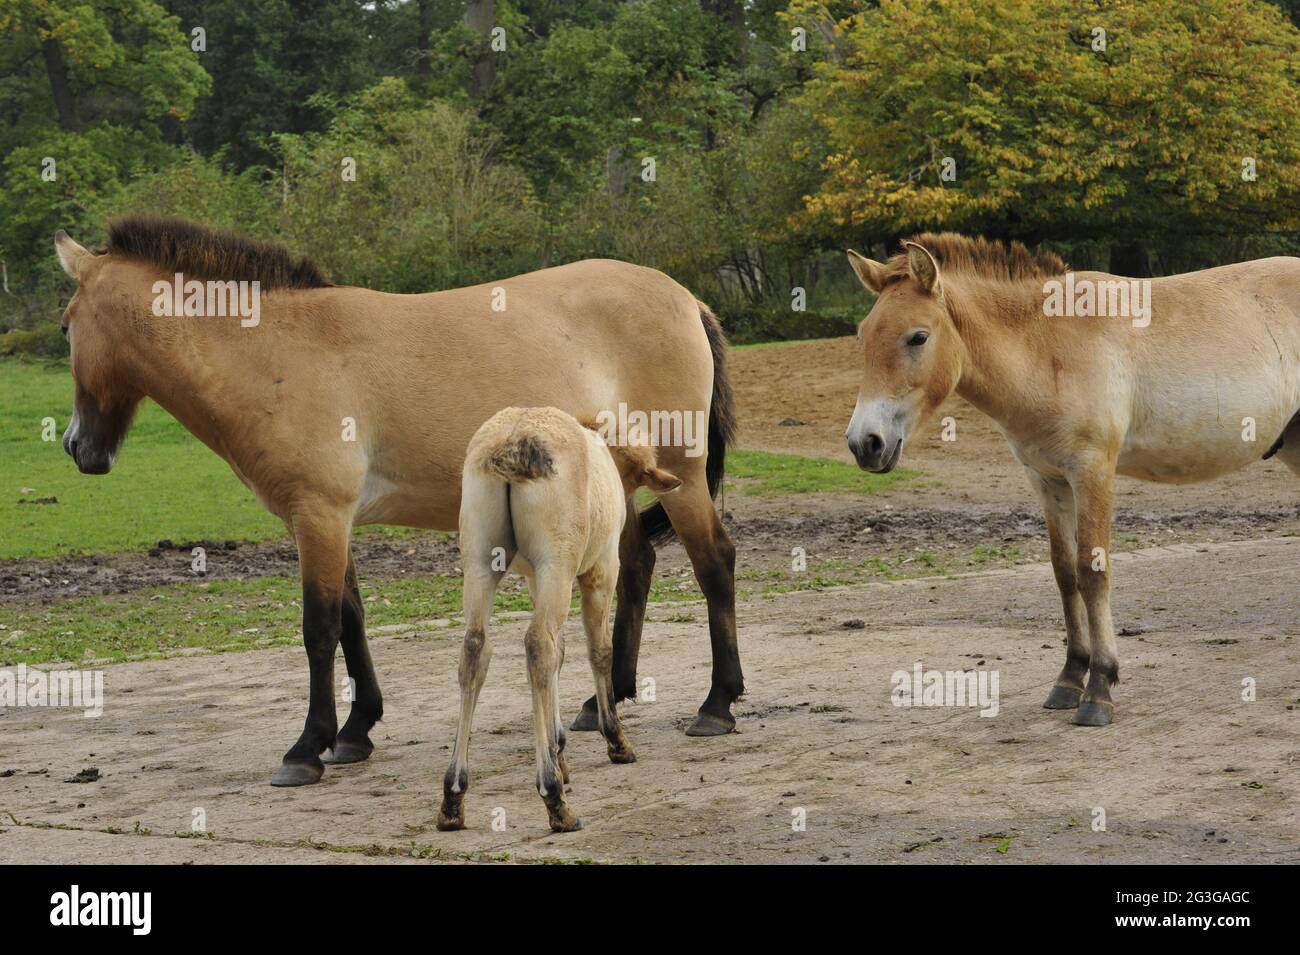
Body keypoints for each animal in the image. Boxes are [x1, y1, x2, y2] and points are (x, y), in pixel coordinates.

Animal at [53, 215, 742, 787]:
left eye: (66, 327)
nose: (77, 447)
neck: (279, 352)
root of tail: (687, 299)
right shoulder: (326, 519)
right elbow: (352, 617)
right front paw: (355, 732)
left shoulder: (320, 515)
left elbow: (319, 626)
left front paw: (305, 749)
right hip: (617, 489)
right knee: (636, 569)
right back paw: (605, 702)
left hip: (682, 478)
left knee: (714, 563)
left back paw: (717, 704)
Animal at [439, 406, 681, 832]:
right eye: (636, 475)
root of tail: (514, 443)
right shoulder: (601, 569)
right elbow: (598, 649)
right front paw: (613, 739)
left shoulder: (537, 579)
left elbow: (560, 653)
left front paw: (558, 749)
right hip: (558, 563)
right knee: (538, 644)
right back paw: (553, 797)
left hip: (482, 561)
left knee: (477, 649)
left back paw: (454, 796)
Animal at [843, 233, 1300, 725]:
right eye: (863, 335)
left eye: (918, 337)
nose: (864, 443)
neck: (1047, 346)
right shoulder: (1048, 480)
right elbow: (1064, 573)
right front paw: (1069, 679)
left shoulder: (1092, 472)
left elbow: (1092, 571)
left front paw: (1099, 689)